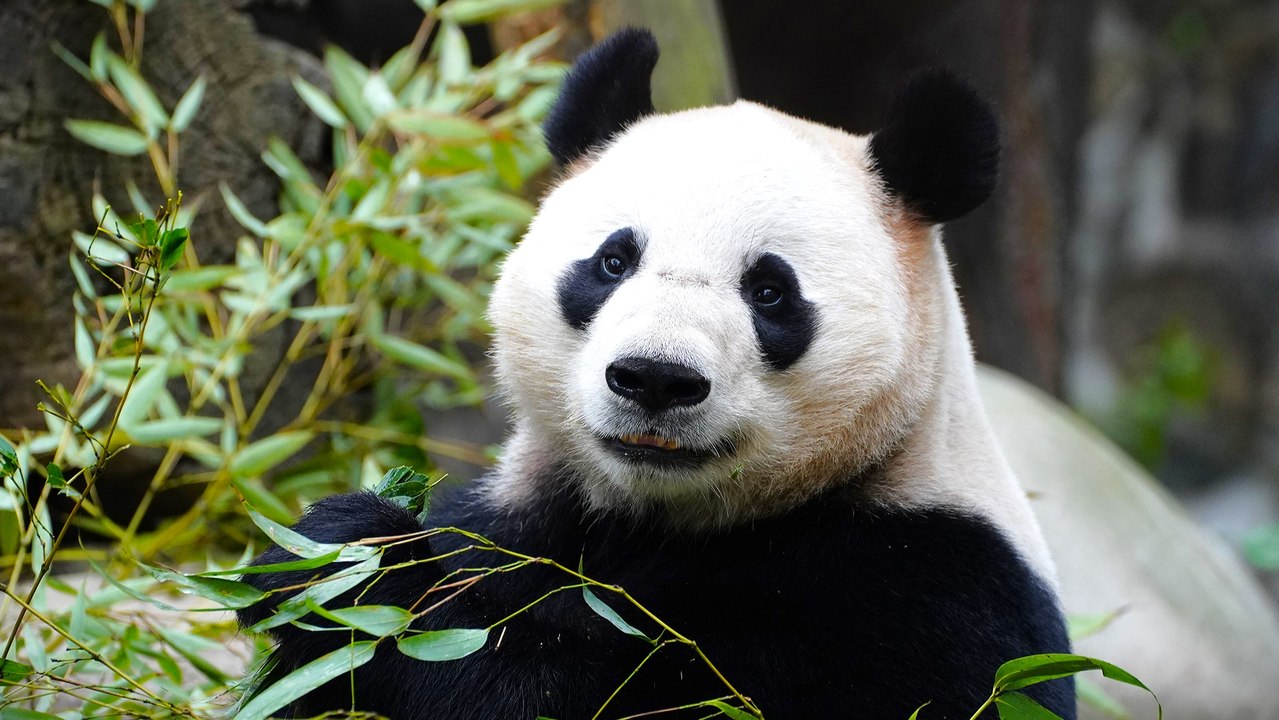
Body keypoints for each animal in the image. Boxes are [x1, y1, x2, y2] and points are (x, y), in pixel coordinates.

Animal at [238, 28, 1075, 720]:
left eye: (769, 291)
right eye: (614, 260)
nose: (654, 379)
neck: (663, 518)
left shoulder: (934, 589)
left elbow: (564, 686)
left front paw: (370, 572)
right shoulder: (518, 520)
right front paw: (324, 554)